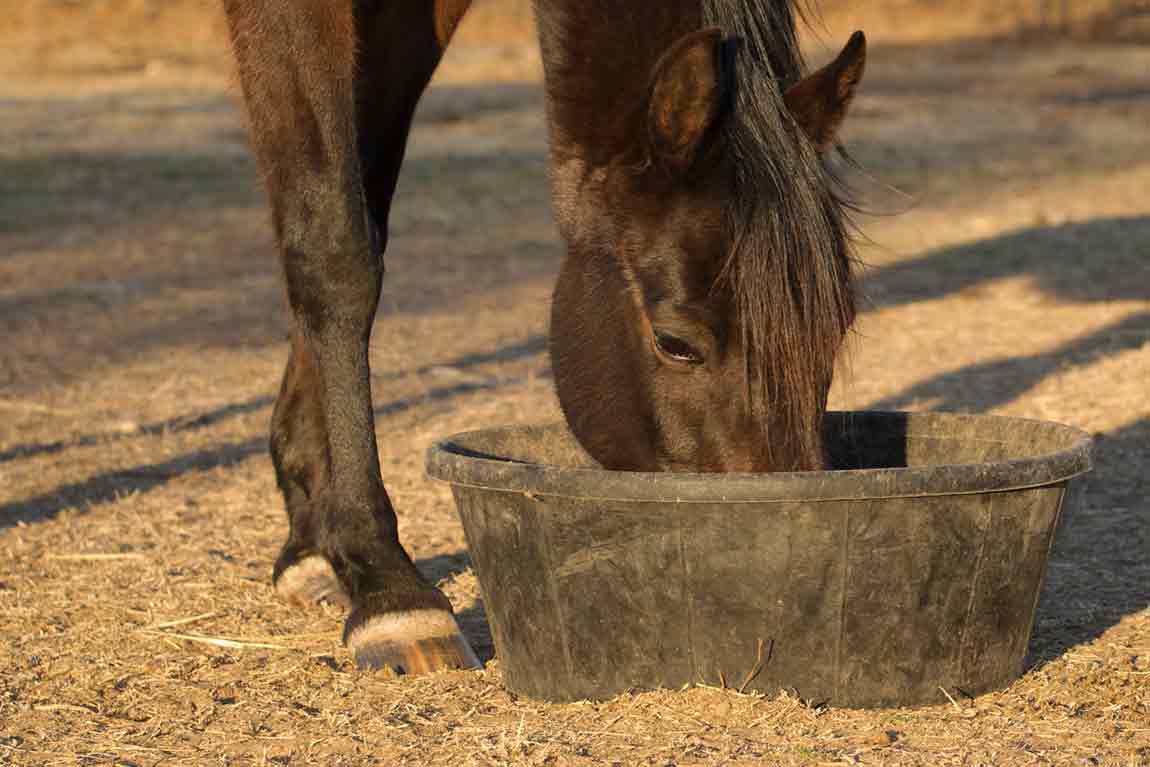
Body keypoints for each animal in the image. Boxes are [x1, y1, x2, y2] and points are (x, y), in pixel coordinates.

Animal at [221, 0, 864, 676]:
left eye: (836, 330)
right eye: (675, 342)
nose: (776, 560)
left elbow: (363, 202)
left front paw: (313, 541)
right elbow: (336, 245)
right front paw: (386, 585)